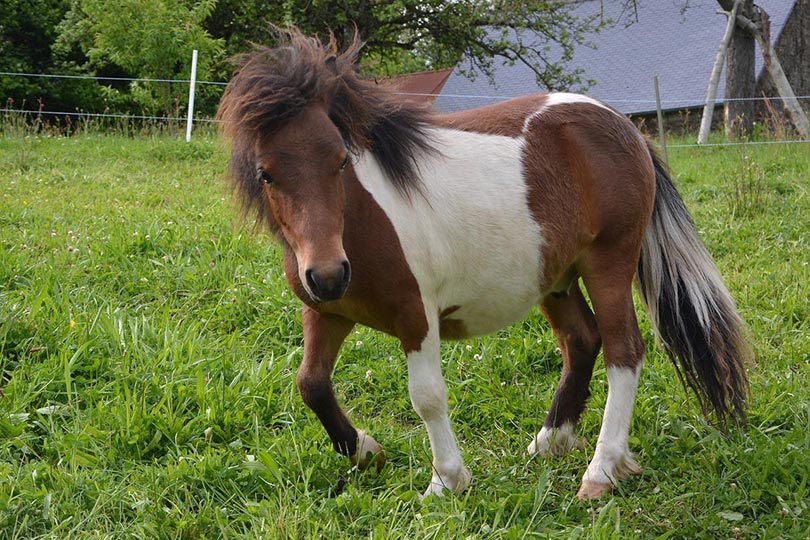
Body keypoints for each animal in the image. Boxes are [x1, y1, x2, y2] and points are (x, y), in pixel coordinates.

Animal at [216, 28, 751, 499]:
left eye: (341, 161)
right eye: (266, 174)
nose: (329, 275)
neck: (359, 219)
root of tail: (621, 124)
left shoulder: (415, 316)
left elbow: (427, 396)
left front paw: (446, 481)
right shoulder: (325, 311)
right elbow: (311, 384)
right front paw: (366, 450)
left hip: (609, 265)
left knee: (624, 352)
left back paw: (600, 471)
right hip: (555, 276)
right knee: (582, 341)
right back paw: (550, 442)